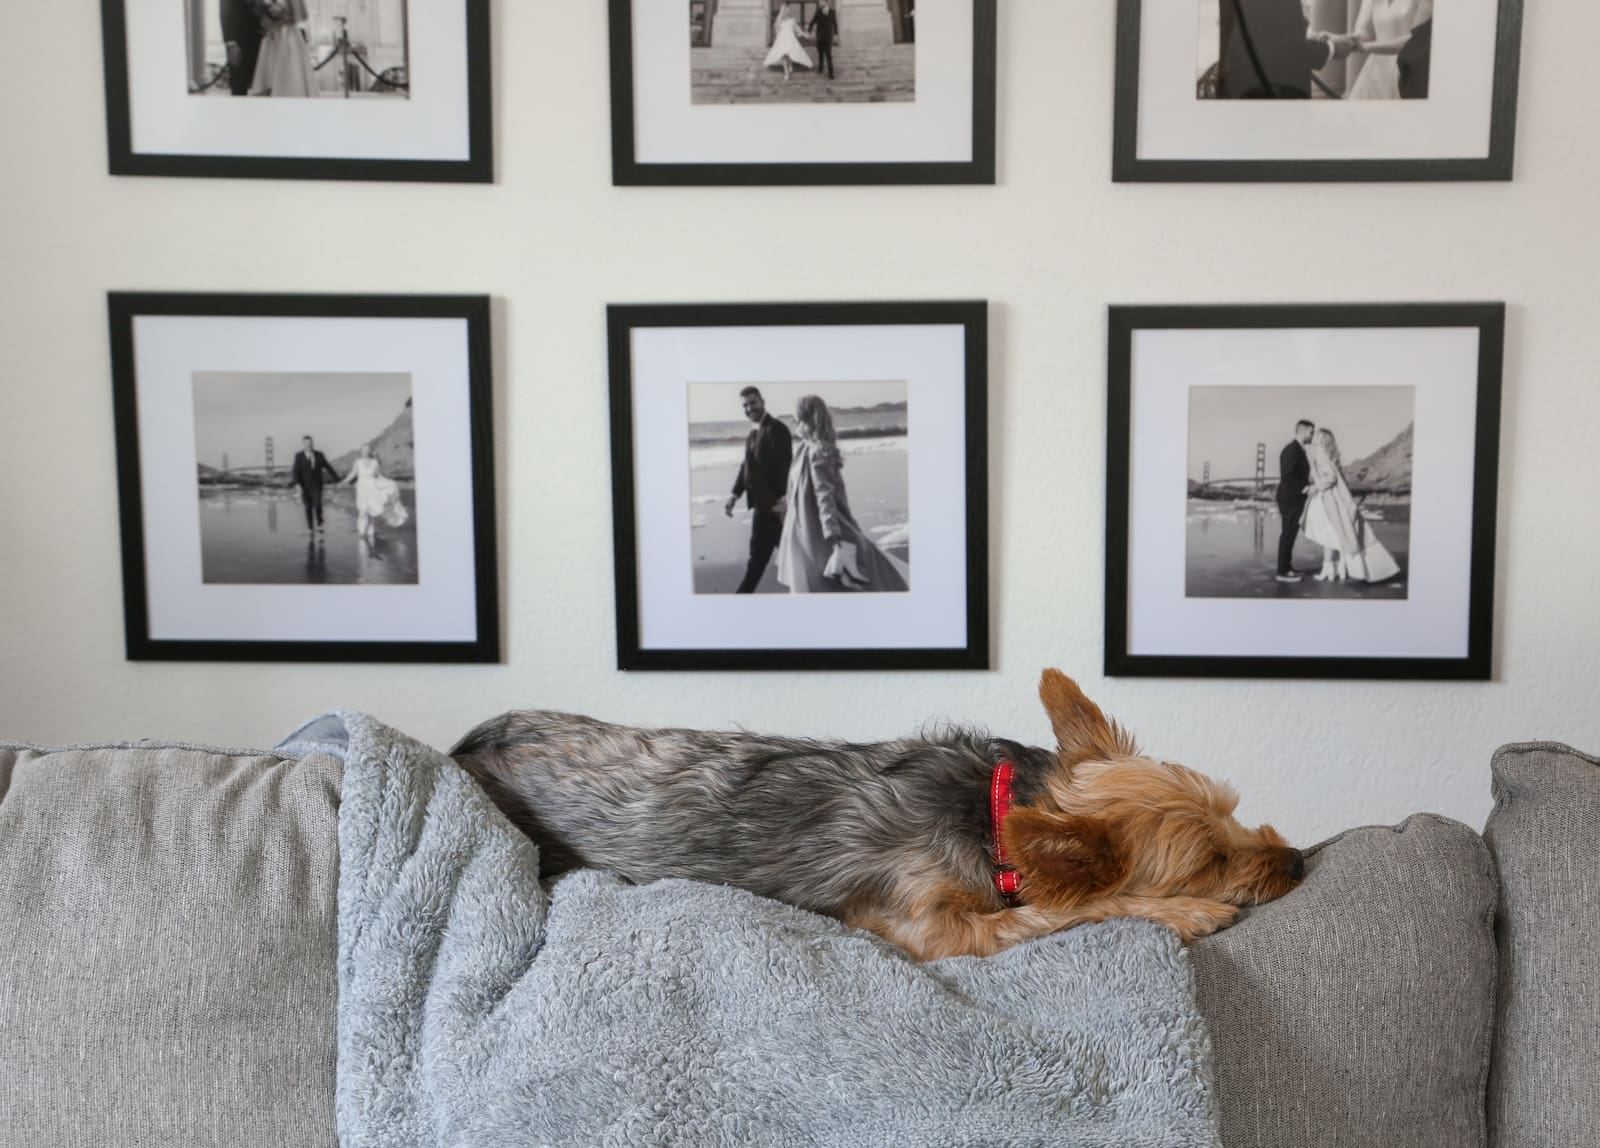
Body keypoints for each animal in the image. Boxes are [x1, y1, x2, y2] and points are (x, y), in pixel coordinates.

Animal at [451, 674, 1299, 959]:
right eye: (1208, 862)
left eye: (1237, 815)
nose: (1295, 860)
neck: (994, 813)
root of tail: (476, 739)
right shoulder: (929, 925)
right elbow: (1069, 910)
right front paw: (1190, 912)